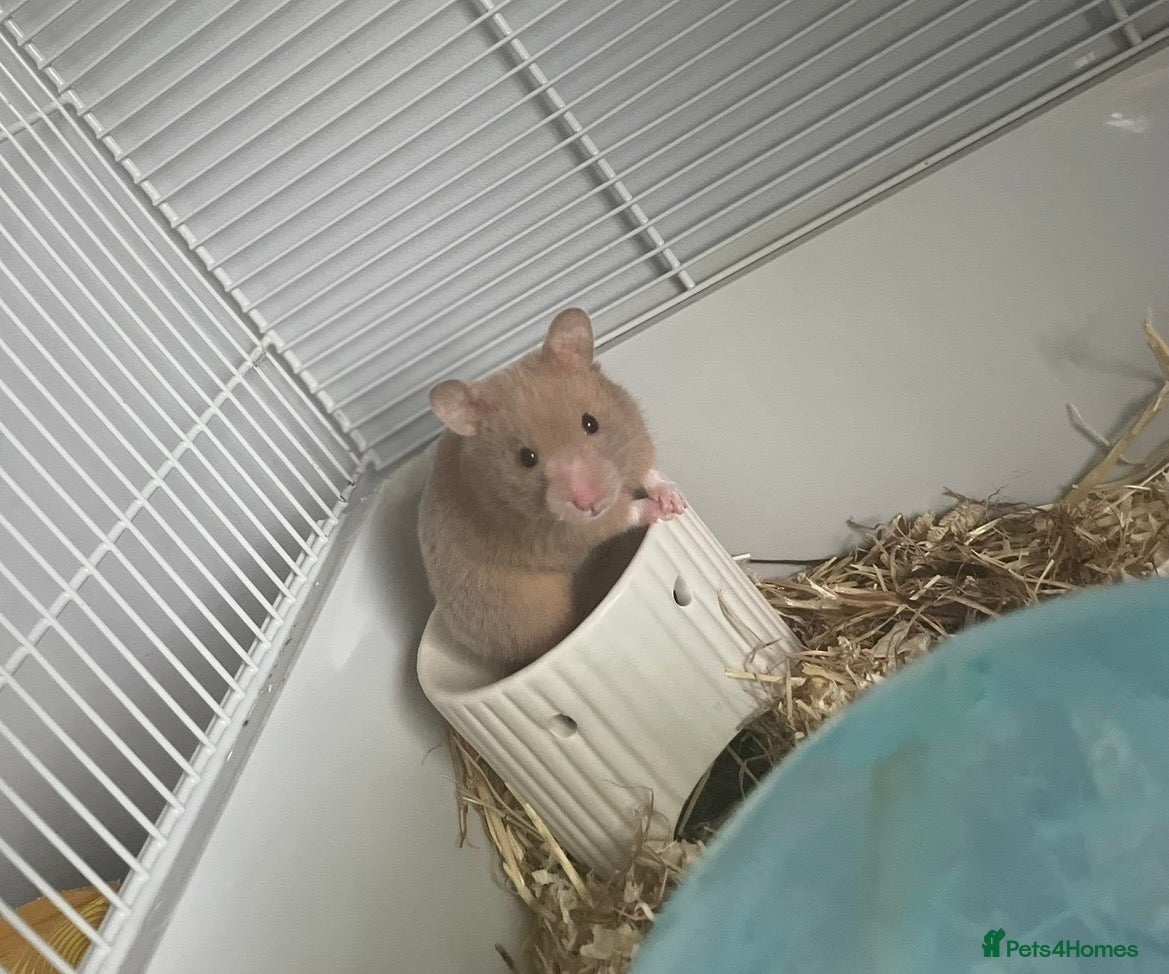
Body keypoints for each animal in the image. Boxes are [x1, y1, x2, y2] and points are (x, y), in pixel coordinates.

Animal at [417, 307, 686, 669]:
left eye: (591, 423)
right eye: (525, 458)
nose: (589, 502)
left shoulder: (635, 436)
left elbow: (648, 472)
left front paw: (675, 501)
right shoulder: (561, 534)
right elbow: (622, 514)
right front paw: (659, 509)